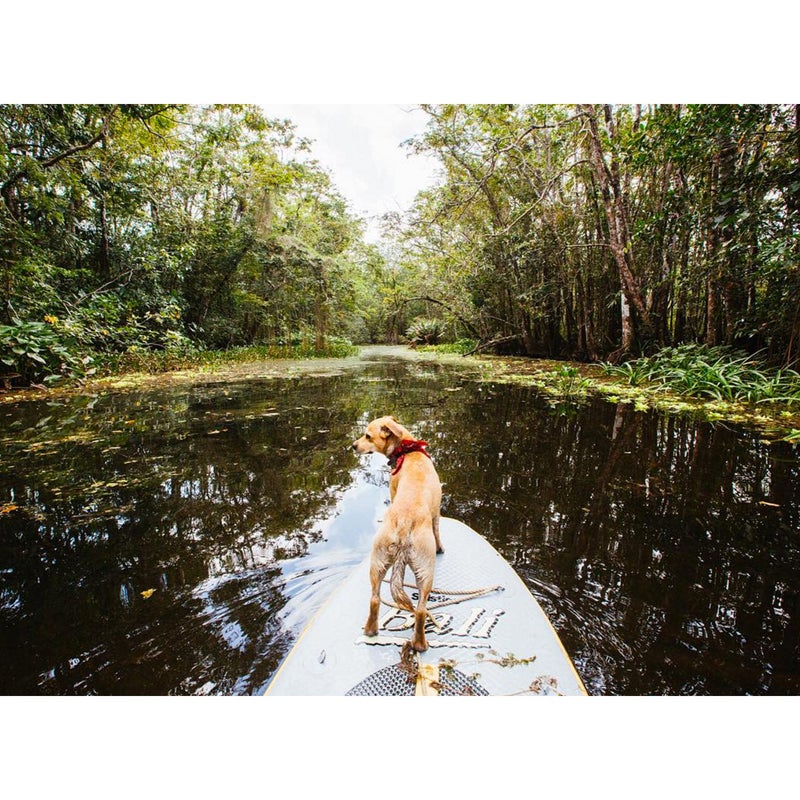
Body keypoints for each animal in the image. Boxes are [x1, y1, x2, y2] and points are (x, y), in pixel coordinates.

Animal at [354, 416, 444, 652]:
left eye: (367, 436)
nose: (353, 446)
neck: (408, 450)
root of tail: (404, 523)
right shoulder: (437, 513)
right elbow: (438, 532)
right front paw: (441, 548)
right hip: (426, 570)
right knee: (420, 610)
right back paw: (420, 644)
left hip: (377, 563)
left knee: (374, 599)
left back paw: (370, 630)